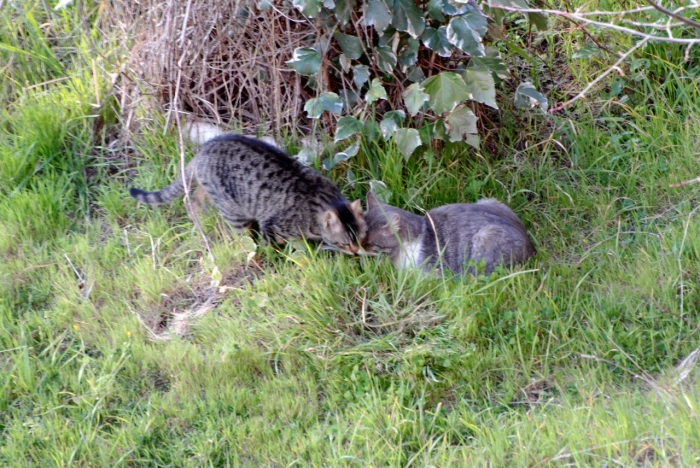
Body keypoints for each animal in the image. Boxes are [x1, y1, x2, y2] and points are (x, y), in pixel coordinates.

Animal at [130, 133, 366, 254]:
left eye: (361, 238)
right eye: (345, 243)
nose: (356, 252)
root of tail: (203, 150)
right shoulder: (271, 226)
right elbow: (273, 246)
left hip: (209, 192)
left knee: (191, 200)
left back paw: (201, 223)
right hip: (233, 210)